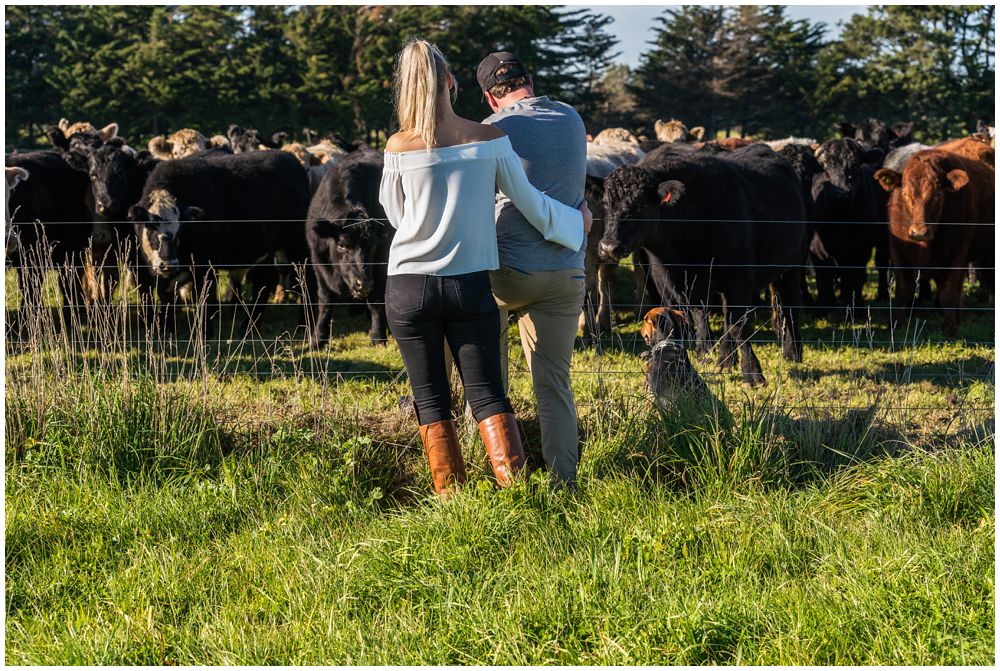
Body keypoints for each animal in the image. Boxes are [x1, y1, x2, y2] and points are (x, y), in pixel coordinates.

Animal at [128, 151, 308, 332]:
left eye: (180, 229)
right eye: (151, 226)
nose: (168, 263)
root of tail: (291, 159)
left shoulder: (203, 265)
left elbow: (203, 298)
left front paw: (205, 331)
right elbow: (167, 300)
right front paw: (168, 330)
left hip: (297, 245)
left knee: (306, 279)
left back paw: (303, 323)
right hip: (268, 251)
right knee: (263, 282)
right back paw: (248, 327)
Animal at [306, 147, 392, 346]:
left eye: (372, 247)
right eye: (341, 245)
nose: (363, 283)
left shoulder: (380, 265)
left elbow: (376, 300)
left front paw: (378, 336)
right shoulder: (318, 262)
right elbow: (326, 300)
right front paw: (318, 338)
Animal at [596, 144, 808, 386]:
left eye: (639, 205)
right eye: (606, 204)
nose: (609, 246)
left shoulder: (739, 280)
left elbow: (738, 325)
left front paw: (752, 373)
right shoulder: (670, 285)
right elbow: (697, 320)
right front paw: (707, 356)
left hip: (792, 266)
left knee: (789, 304)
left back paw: (792, 352)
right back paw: (725, 360)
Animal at [812, 140, 892, 312]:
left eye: (855, 165)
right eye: (825, 166)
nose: (841, 193)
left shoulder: (861, 246)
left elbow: (856, 276)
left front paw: (857, 307)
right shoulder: (817, 247)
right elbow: (824, 276)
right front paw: (823, 307)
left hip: (883, 239)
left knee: (882, 263)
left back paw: (883, 294)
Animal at [876, 145, 992, 338]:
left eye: (938, 194)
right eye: (905, 194)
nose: (919, 232)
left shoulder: (957, 253)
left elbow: (948, 293)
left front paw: (950, 329)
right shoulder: (897, 251)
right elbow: (903, 290)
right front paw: (895, 325)